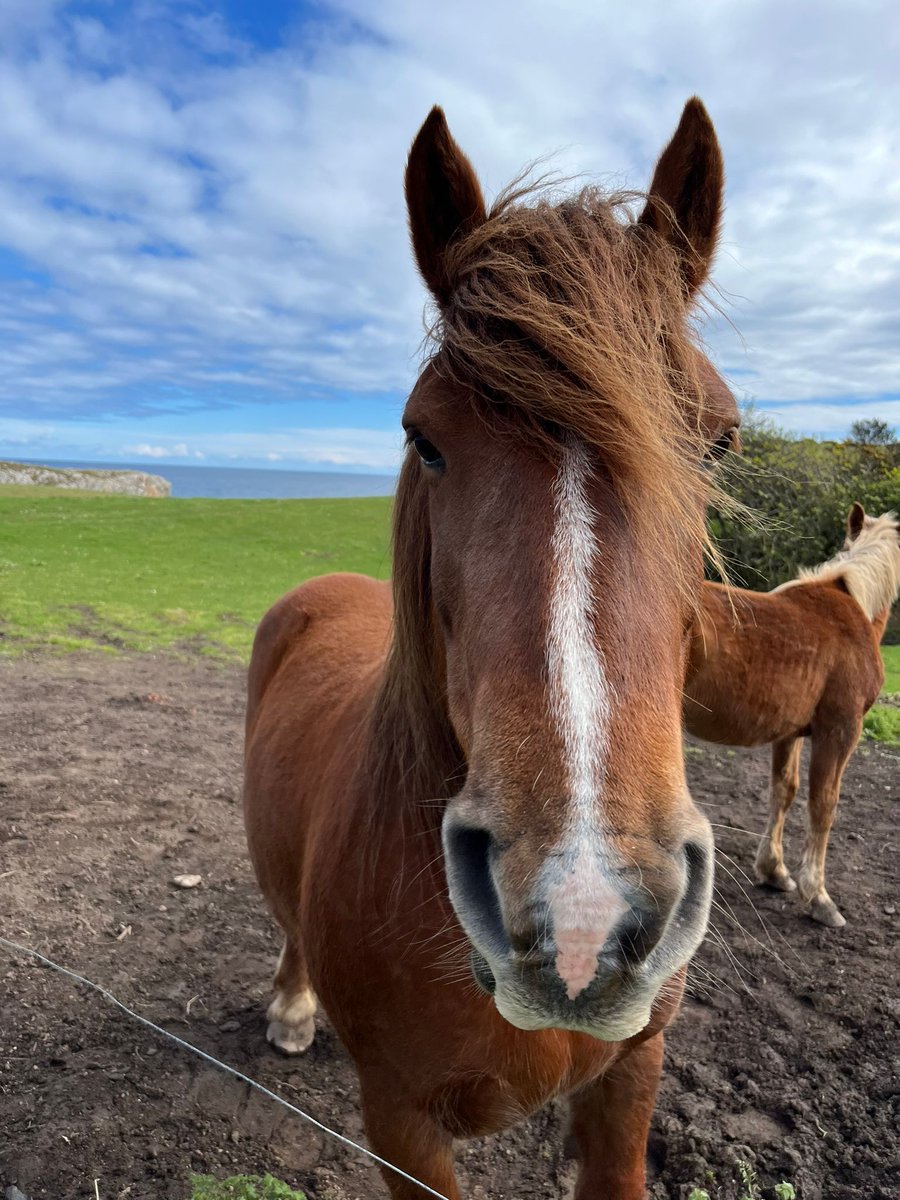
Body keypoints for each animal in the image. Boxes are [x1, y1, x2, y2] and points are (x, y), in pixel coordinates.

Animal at [243, 98, 740, 1200]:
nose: (585, 907)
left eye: (720, 439)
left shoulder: (629, 1082)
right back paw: (294, 1004)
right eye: (423, 437)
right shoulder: (399, 1123)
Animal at [684, 504, 900, 928]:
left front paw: (774, 872)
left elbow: (784, 790)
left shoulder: (790, 732)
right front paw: (818, 897)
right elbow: (823, 805)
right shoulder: (840, 731)